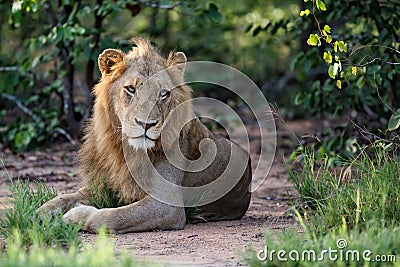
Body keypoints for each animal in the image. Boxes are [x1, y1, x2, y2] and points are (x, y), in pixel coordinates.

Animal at [39, 36, 253, 233]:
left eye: (163, 94)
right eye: (131, 89)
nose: (146, 124)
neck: (122, 151)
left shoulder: (167, 205)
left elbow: (112, 217)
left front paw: (76, 215)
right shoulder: (100, 186)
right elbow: (63, 197)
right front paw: (40, 212)